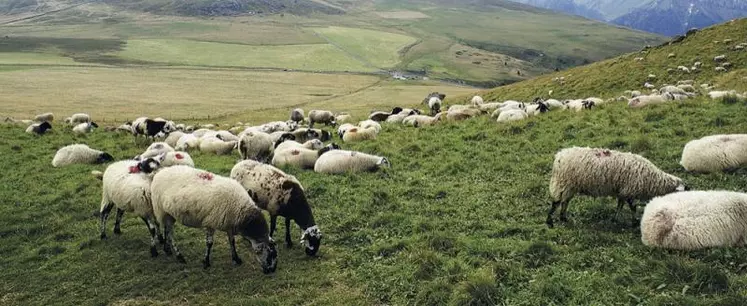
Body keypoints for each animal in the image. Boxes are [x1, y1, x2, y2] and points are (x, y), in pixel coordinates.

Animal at [149, 166, 278, 272]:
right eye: (271, 254)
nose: (271, 271)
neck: (240, 209)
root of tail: (160, 172)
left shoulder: (229, 224)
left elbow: (232, 242)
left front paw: (236, 259)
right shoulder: (211, 222)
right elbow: (209, 243)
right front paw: (206, 262)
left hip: (169, 214)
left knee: (166, 230)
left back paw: (167, 250)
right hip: (161, 210)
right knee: (170, 233)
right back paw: (179, 256)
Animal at [548, 147, 688, 228]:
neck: (652, 179)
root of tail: (559, 156)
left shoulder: (623, 191)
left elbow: (620, 206)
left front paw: (615, 219)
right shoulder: (630, 190)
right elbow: (632, 207)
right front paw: (635, 222)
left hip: (569, 186)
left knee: (565, 201)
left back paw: (563, 218)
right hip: (563, 183)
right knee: (556, 202)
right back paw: (550, 221)